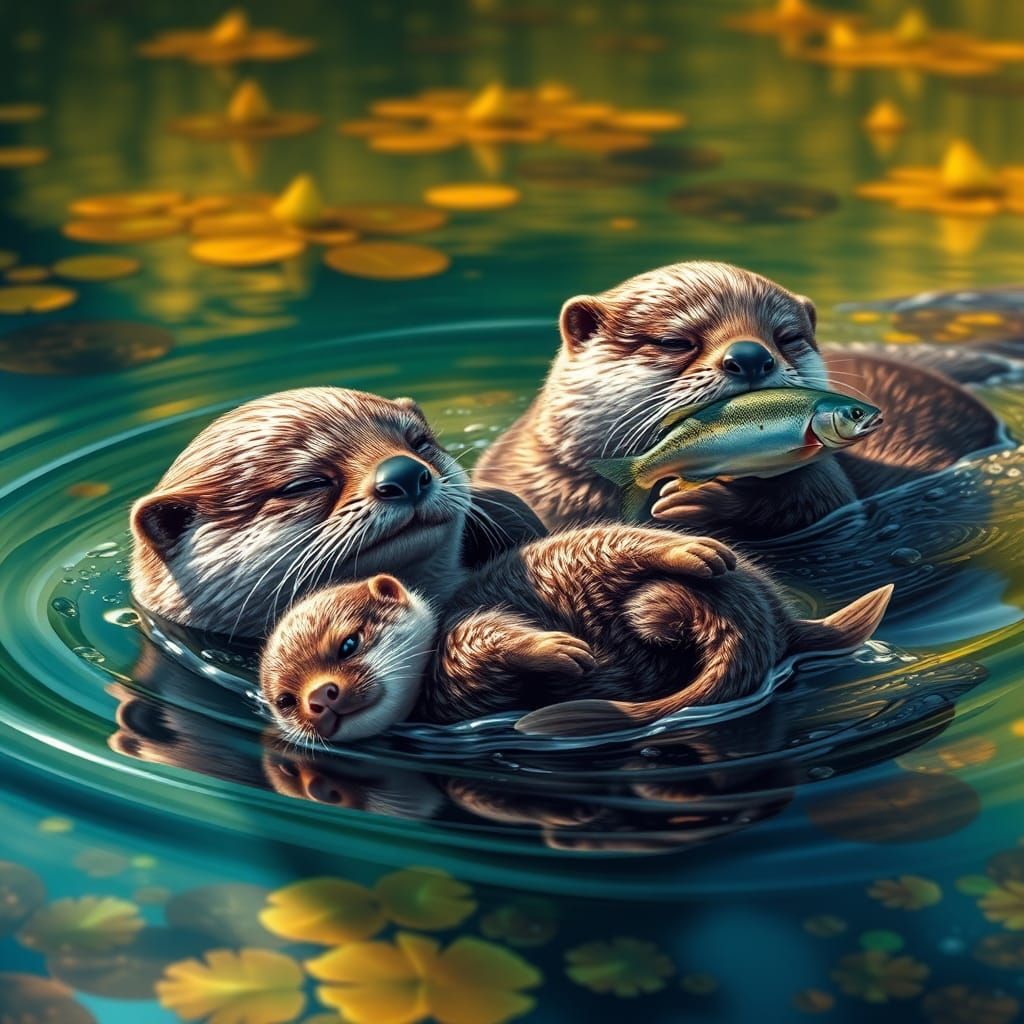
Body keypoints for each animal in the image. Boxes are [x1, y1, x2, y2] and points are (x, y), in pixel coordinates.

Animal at [260, 526, 892, 738]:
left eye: (348, 643)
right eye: (286, 700)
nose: (321, 698)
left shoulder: (463, 633)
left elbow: (492, 631)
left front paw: (562, 650)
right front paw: (568, 656)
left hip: (597, 549)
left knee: (640, 549)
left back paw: (698, 551)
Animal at [473, 261, 1003, 537]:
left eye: (787, 337)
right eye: (676, 341)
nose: (750, 356)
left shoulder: (825, 477)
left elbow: (817, 503)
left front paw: (699, 502)